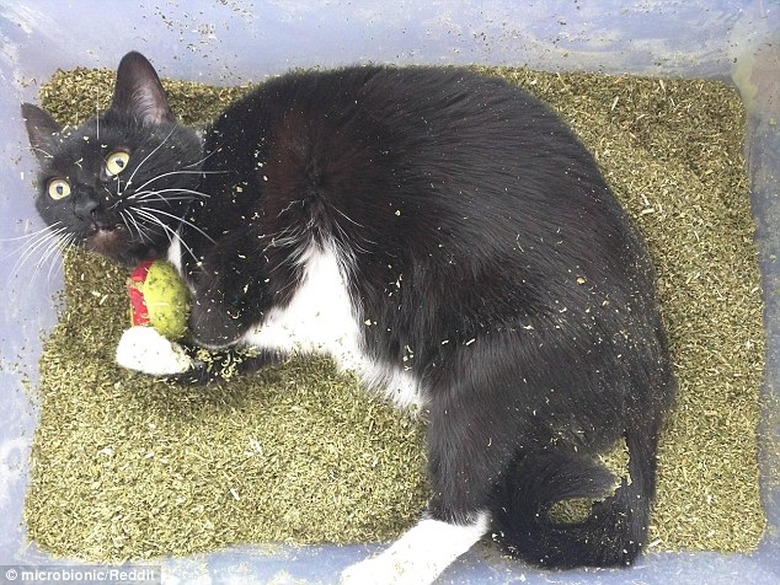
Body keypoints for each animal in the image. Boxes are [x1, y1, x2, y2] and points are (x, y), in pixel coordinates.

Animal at [24, 51, 676, 584]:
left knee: (473, 510)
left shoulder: (267, 214)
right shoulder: (266, 325)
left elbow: (224, 314)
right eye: (56, 189)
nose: (88, 206)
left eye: (117, 161)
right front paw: (153, 345)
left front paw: (180, 320)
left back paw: (378, 571)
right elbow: (224, 356)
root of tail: (650, 373)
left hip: (497, 371)